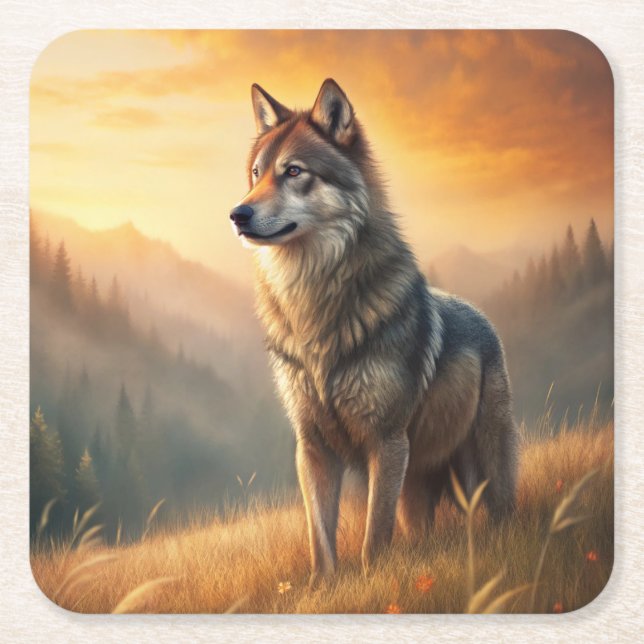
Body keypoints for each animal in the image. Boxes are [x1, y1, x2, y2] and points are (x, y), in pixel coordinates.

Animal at [229, 79, 518, 585]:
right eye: (257, 174)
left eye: (294, 172)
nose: (237, 214)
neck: (314, 303)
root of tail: (483, 318)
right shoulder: (313, 446)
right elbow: (320, 537)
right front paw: (322, 589)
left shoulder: (386, 440)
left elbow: (372, 537)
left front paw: (371, 583)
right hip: (417, 484)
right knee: (420, 527)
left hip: (480, 464)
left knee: (499, 512)